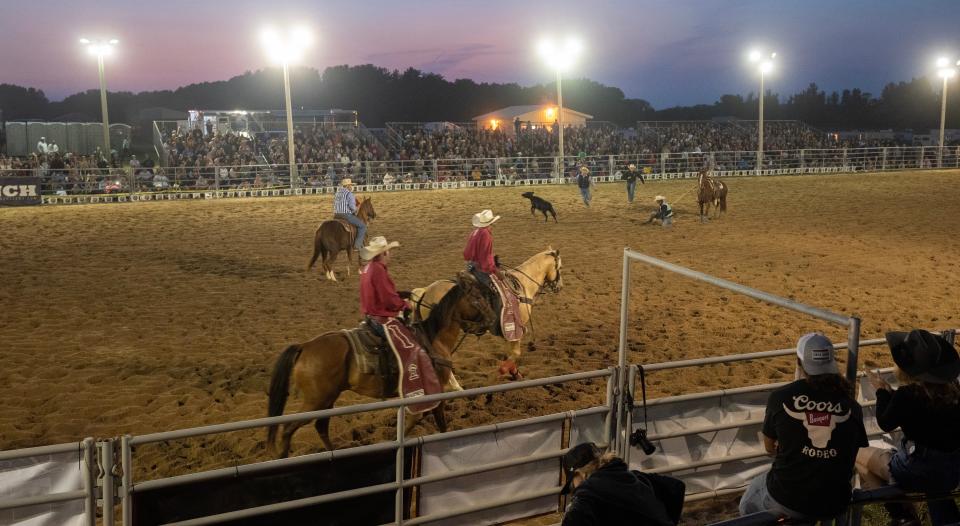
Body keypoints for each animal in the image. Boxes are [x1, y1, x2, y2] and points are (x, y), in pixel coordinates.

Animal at [264, 278, 484, 460]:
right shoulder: (433, 392)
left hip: (327, 399)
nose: (484, 324)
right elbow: (435, 422)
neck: (432, 337)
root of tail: (304, 346)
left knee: (321, 427)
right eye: (477, 299)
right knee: (288, 429)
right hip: (316, 401)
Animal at [412, 250, 564, 382]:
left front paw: (515, 373)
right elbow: (515, 353)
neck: (523, 286)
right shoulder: (515, 328)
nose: (560, 287)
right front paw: (501, 372)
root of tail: (425, 291)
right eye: (560, 267)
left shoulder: (507, 330)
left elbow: (510, 353)